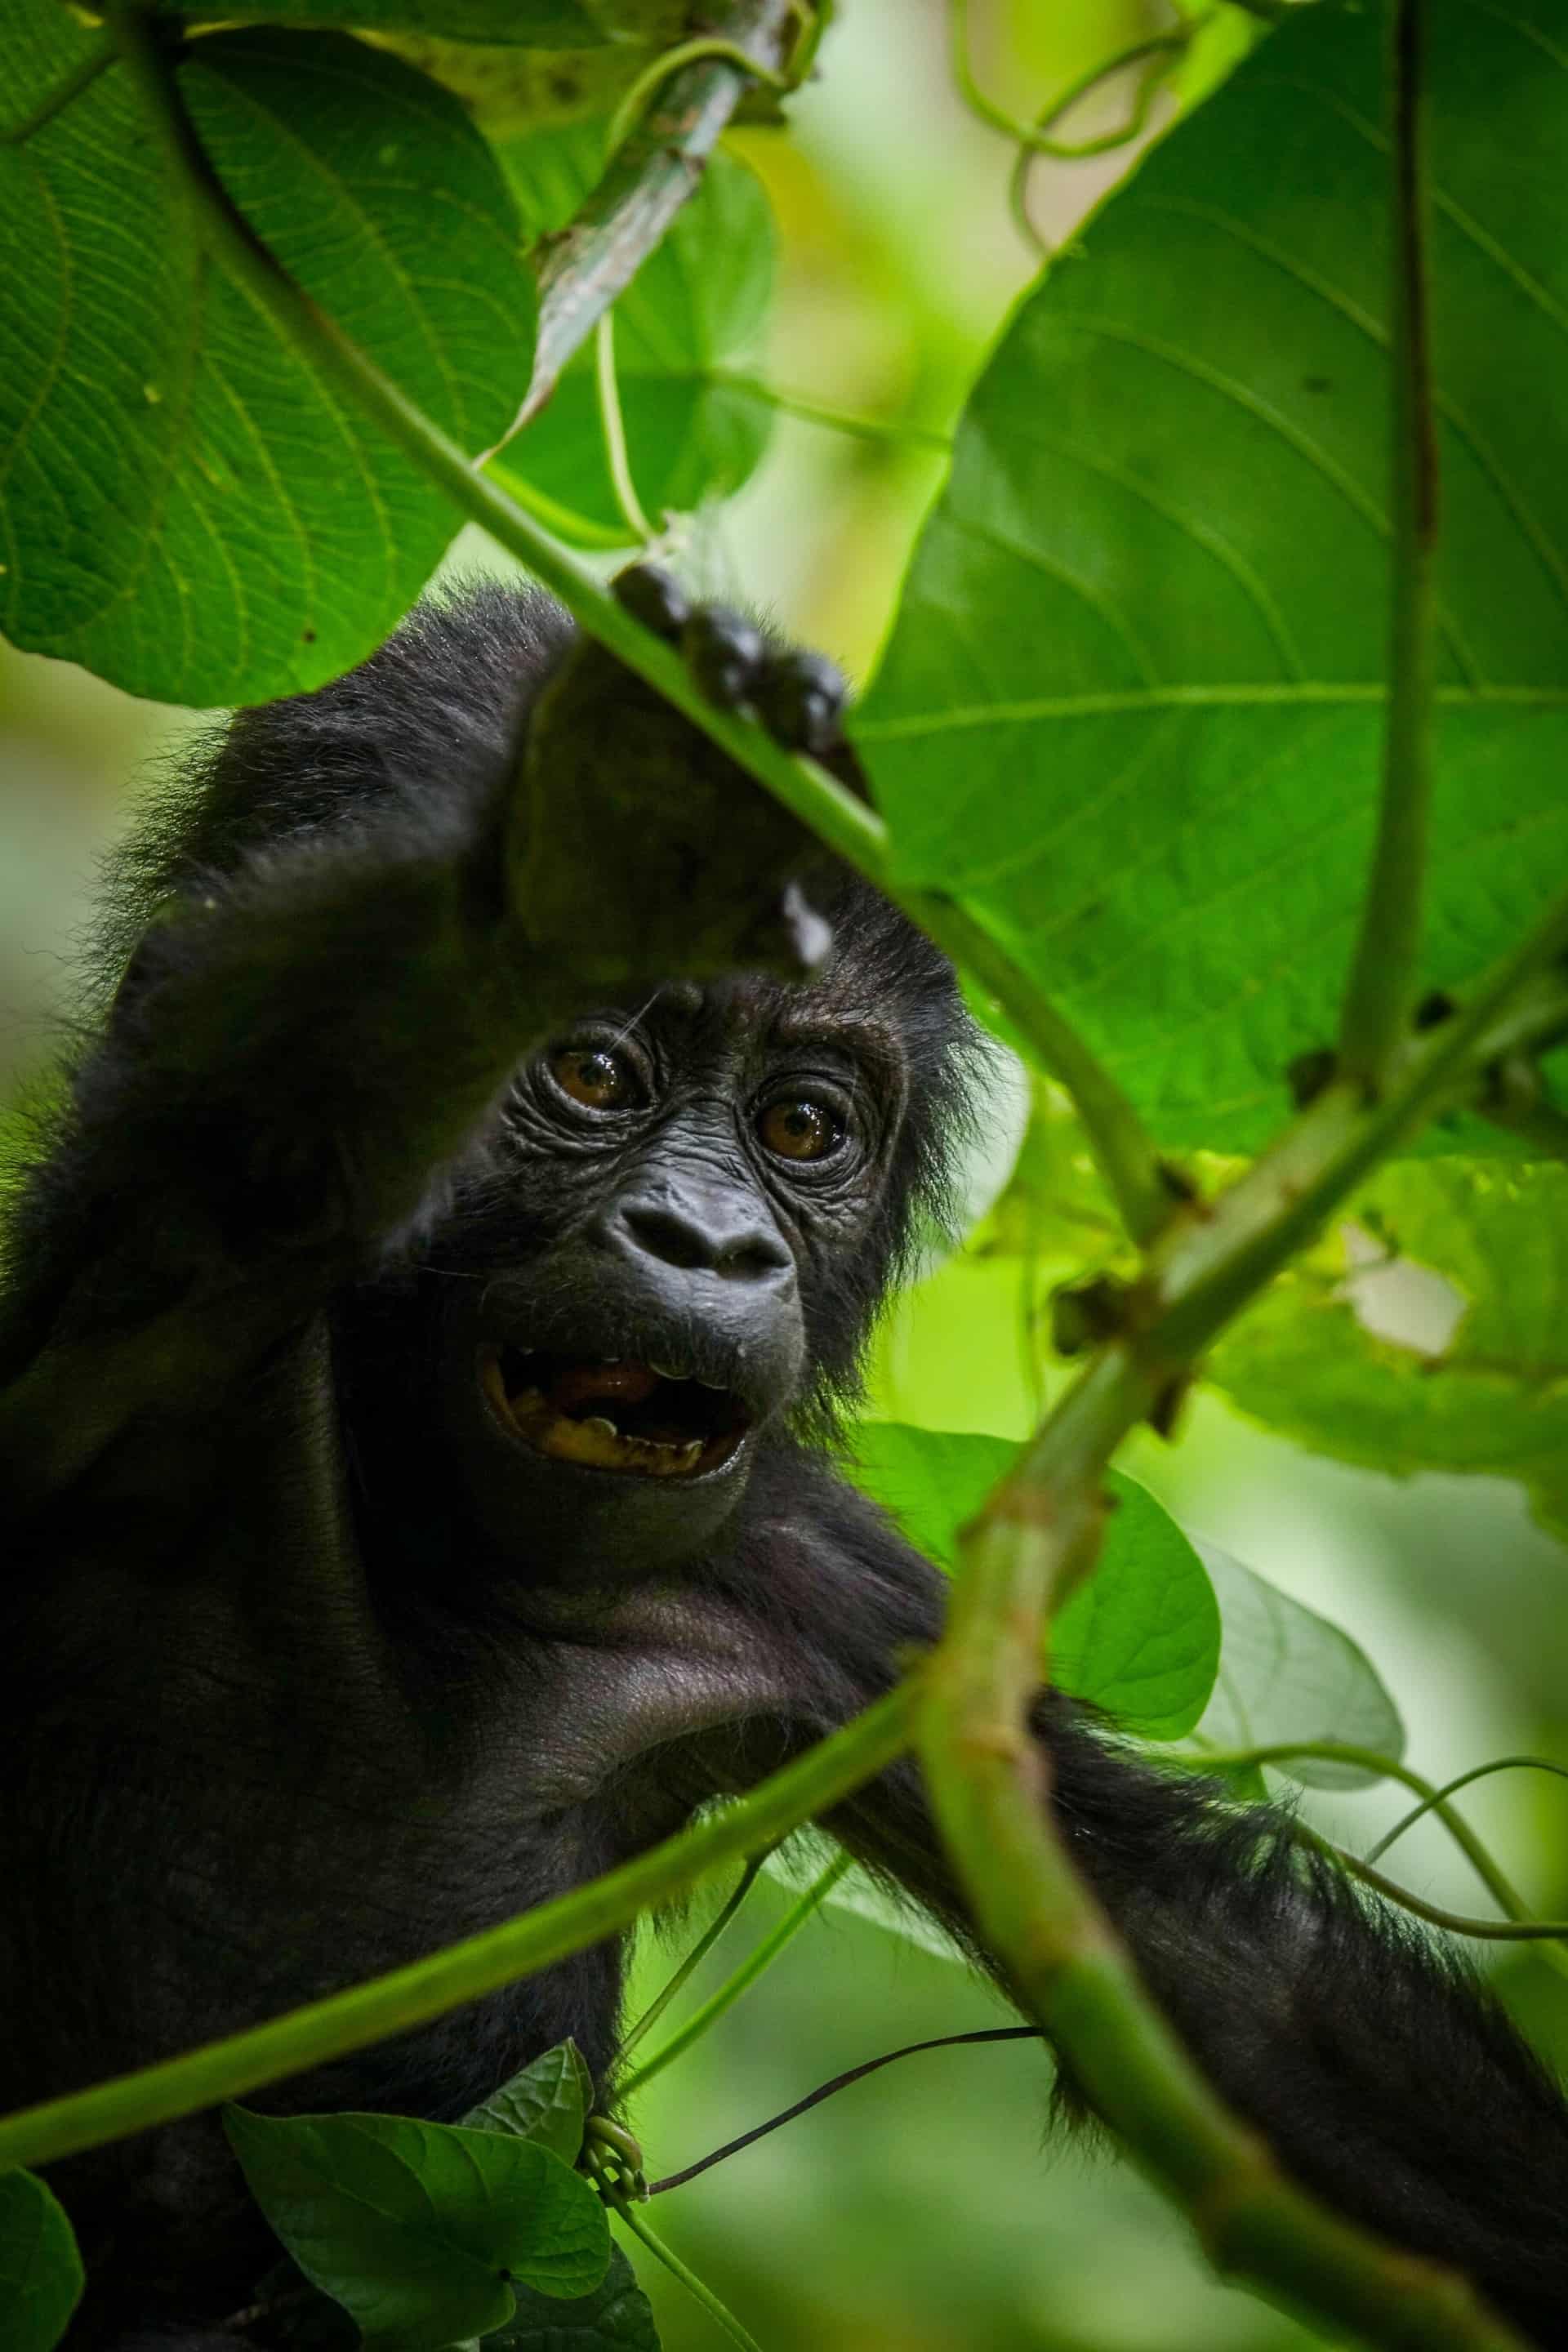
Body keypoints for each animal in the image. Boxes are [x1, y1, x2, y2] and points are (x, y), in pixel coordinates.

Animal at [2, 571, 1566, 2349]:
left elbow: (1240, 1995)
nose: (713, 1241)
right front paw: (605, 832)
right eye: (593, 1071)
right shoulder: (148, 1256)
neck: (431, 1546)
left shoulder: (834, 1602)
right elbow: (276, 1120)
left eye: (803, 1127)